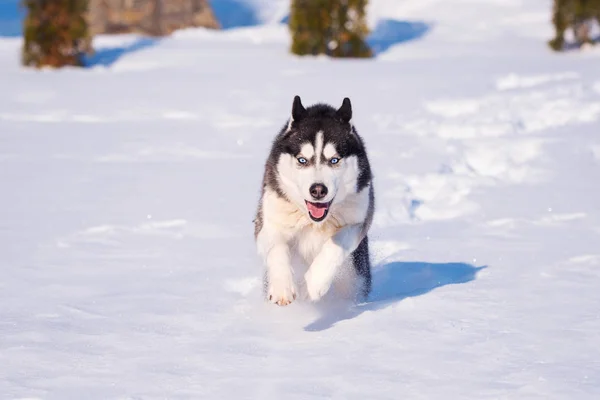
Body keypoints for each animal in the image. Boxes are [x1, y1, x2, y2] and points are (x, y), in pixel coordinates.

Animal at [253, 94, 376, 306]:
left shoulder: (358, 220)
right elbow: (277, 247)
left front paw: (314, 283)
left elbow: (336, 245)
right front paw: (282, 288)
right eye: (302, 160)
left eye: (334, 160)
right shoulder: (269, 220)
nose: (318, 190)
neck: (313, 221)